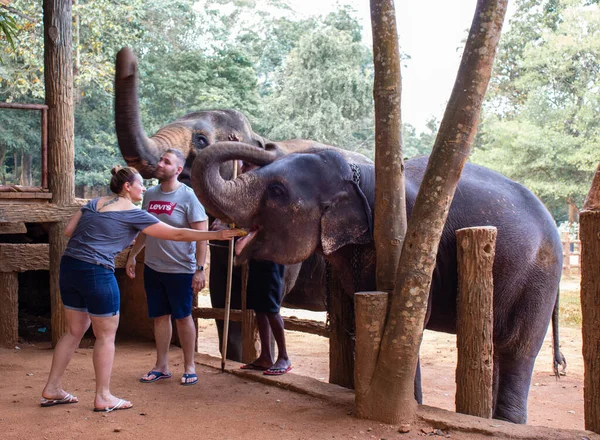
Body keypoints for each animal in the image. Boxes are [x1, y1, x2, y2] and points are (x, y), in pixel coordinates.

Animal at [192, 141, 568, 422]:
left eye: (277, 190)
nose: (267, 145)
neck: (359, 176)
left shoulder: (411, 243)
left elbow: (411, 318)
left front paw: (406, 405)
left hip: (537, 278)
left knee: (517, 349)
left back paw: (507, 422)